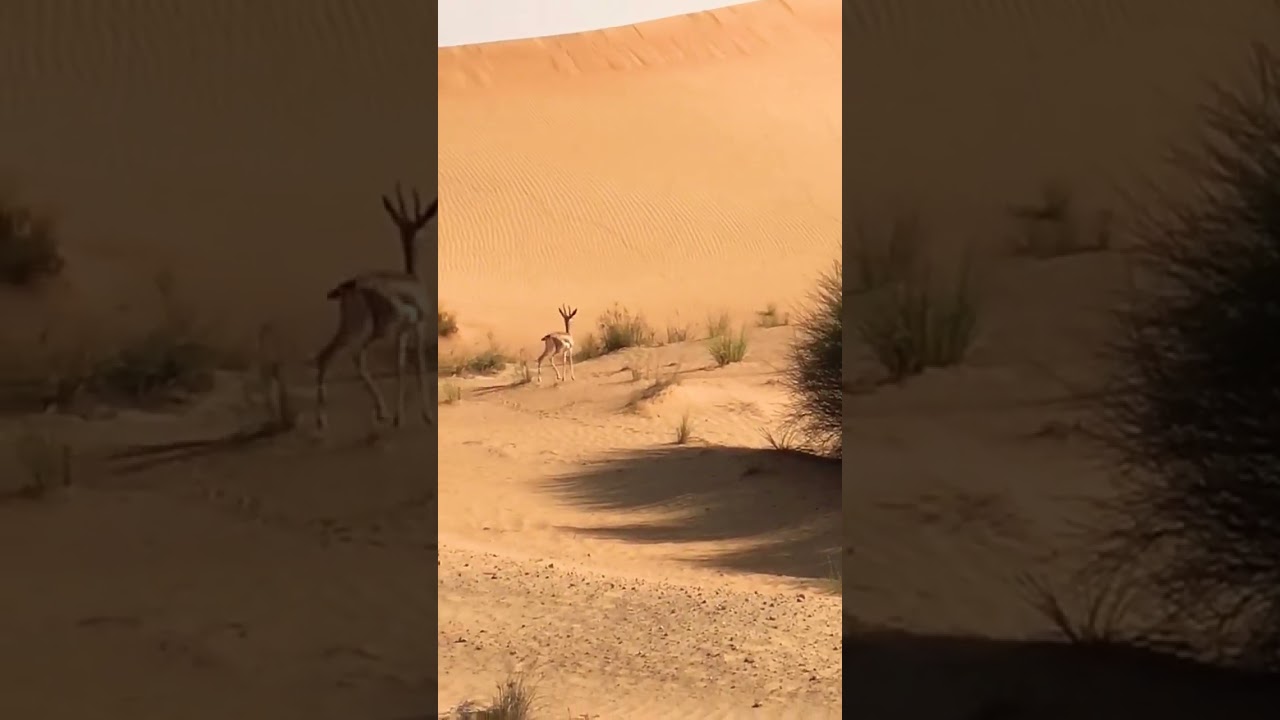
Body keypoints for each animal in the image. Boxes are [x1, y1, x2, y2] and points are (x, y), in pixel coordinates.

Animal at [314, 183, 438, 430]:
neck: (414, 279)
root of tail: (352, 284)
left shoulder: (402, 332)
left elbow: (400, 367)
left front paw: (400, 417)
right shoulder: (417, 327)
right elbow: (416, 366)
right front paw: (426, 416)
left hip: (351, 326)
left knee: (327, 356)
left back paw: (324, 422)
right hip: (374, 330)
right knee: (355, 357)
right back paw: (381, 414)